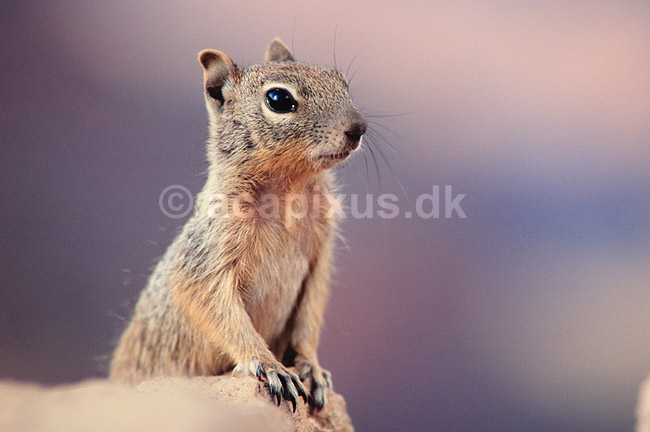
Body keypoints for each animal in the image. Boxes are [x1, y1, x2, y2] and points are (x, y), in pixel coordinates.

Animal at [109, 38, 367, 411]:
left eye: (342, 82)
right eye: (279, 99)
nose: (358, 127)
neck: (289, 188)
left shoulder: (320, 258)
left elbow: (309, 317)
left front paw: (312, 367)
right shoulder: (209, 256)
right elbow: (223, 314)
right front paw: (271, 366)